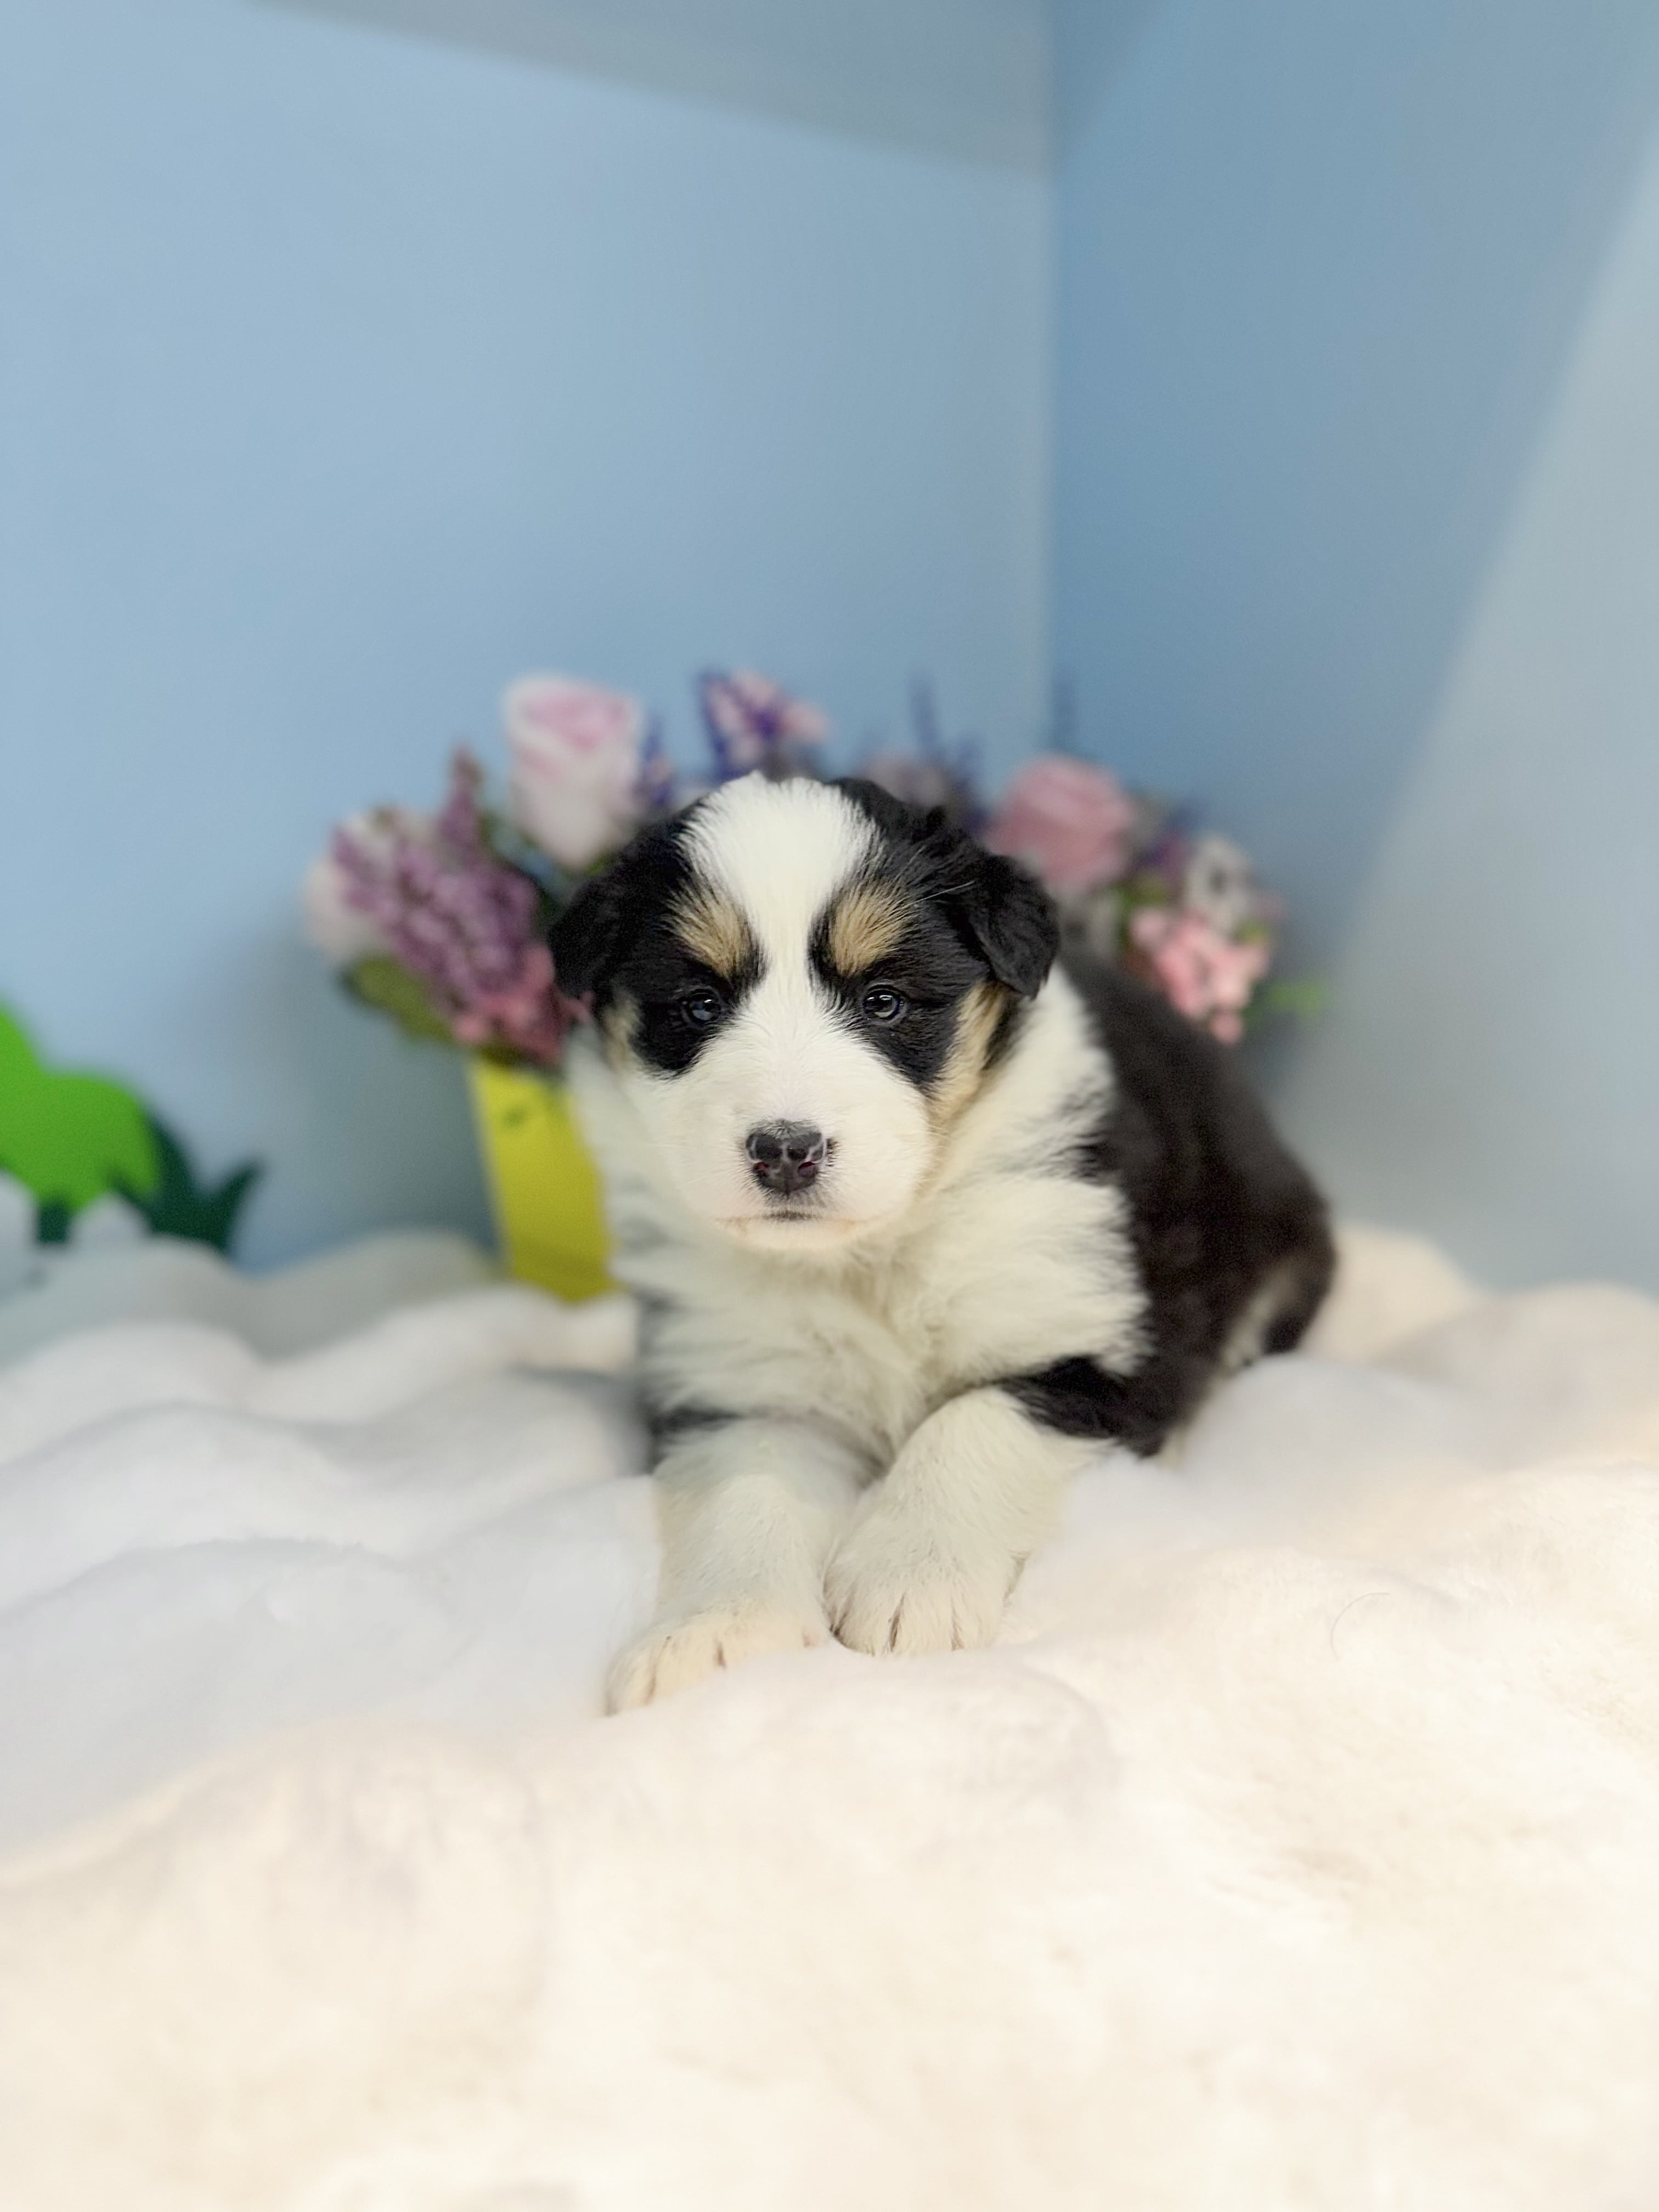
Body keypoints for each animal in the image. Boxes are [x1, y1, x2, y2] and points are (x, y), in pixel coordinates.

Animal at [552, 772, 1335, 1709]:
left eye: (884, 1001)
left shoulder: (1099, 1325)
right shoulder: (742, 1376)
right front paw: (717, 1632)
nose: (785, 1150)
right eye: (698, 1005)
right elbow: (746, 1487)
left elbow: (974, 1418)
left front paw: (910, 1582)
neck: (872, 1253)